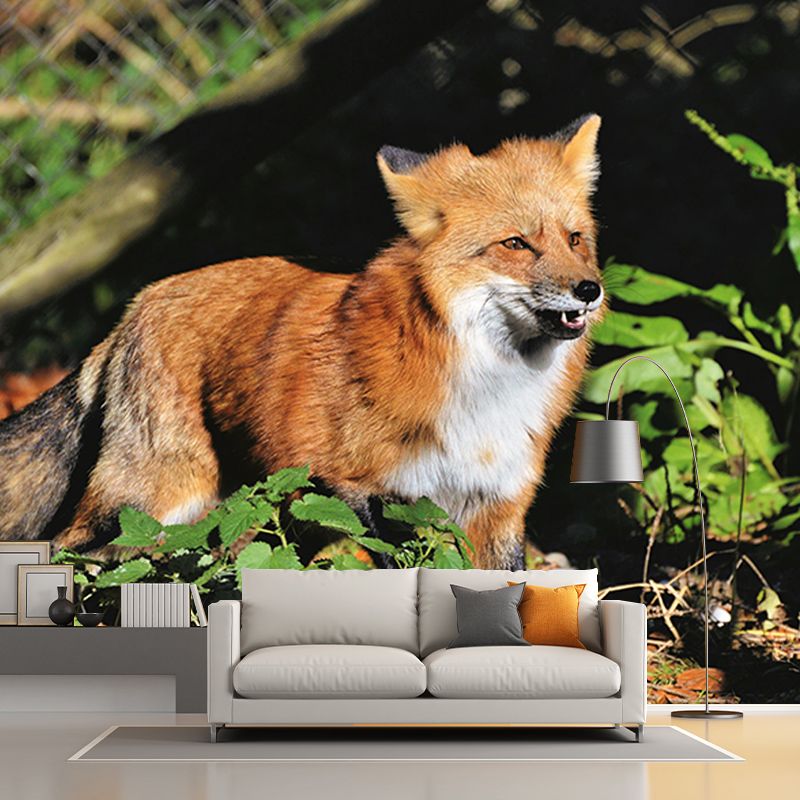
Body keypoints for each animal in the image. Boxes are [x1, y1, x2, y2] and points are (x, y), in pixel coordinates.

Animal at [0, 115, 605, 569]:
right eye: (516, 244)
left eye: (575, 239)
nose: (590, 289)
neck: (487, 390)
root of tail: (137, 303)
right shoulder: (366, 490)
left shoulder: (496, 507)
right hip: (152, 502)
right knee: (71, 551)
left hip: (255, 513)